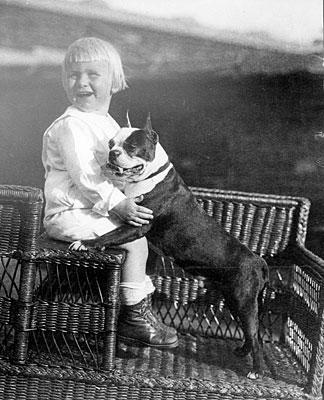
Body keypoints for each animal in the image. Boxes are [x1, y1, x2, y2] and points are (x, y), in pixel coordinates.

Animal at [75, 115, 268, 378]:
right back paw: (241, 352)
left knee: (255, 336)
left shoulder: (137, 225)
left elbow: (109, 235)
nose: (113, 153)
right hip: (234, 299)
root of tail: (257, 260)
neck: (150, 176)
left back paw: (256, 370)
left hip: (243, 301)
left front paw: (86, 243)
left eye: (131, 147)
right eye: (111, 143)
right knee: (251, 333)